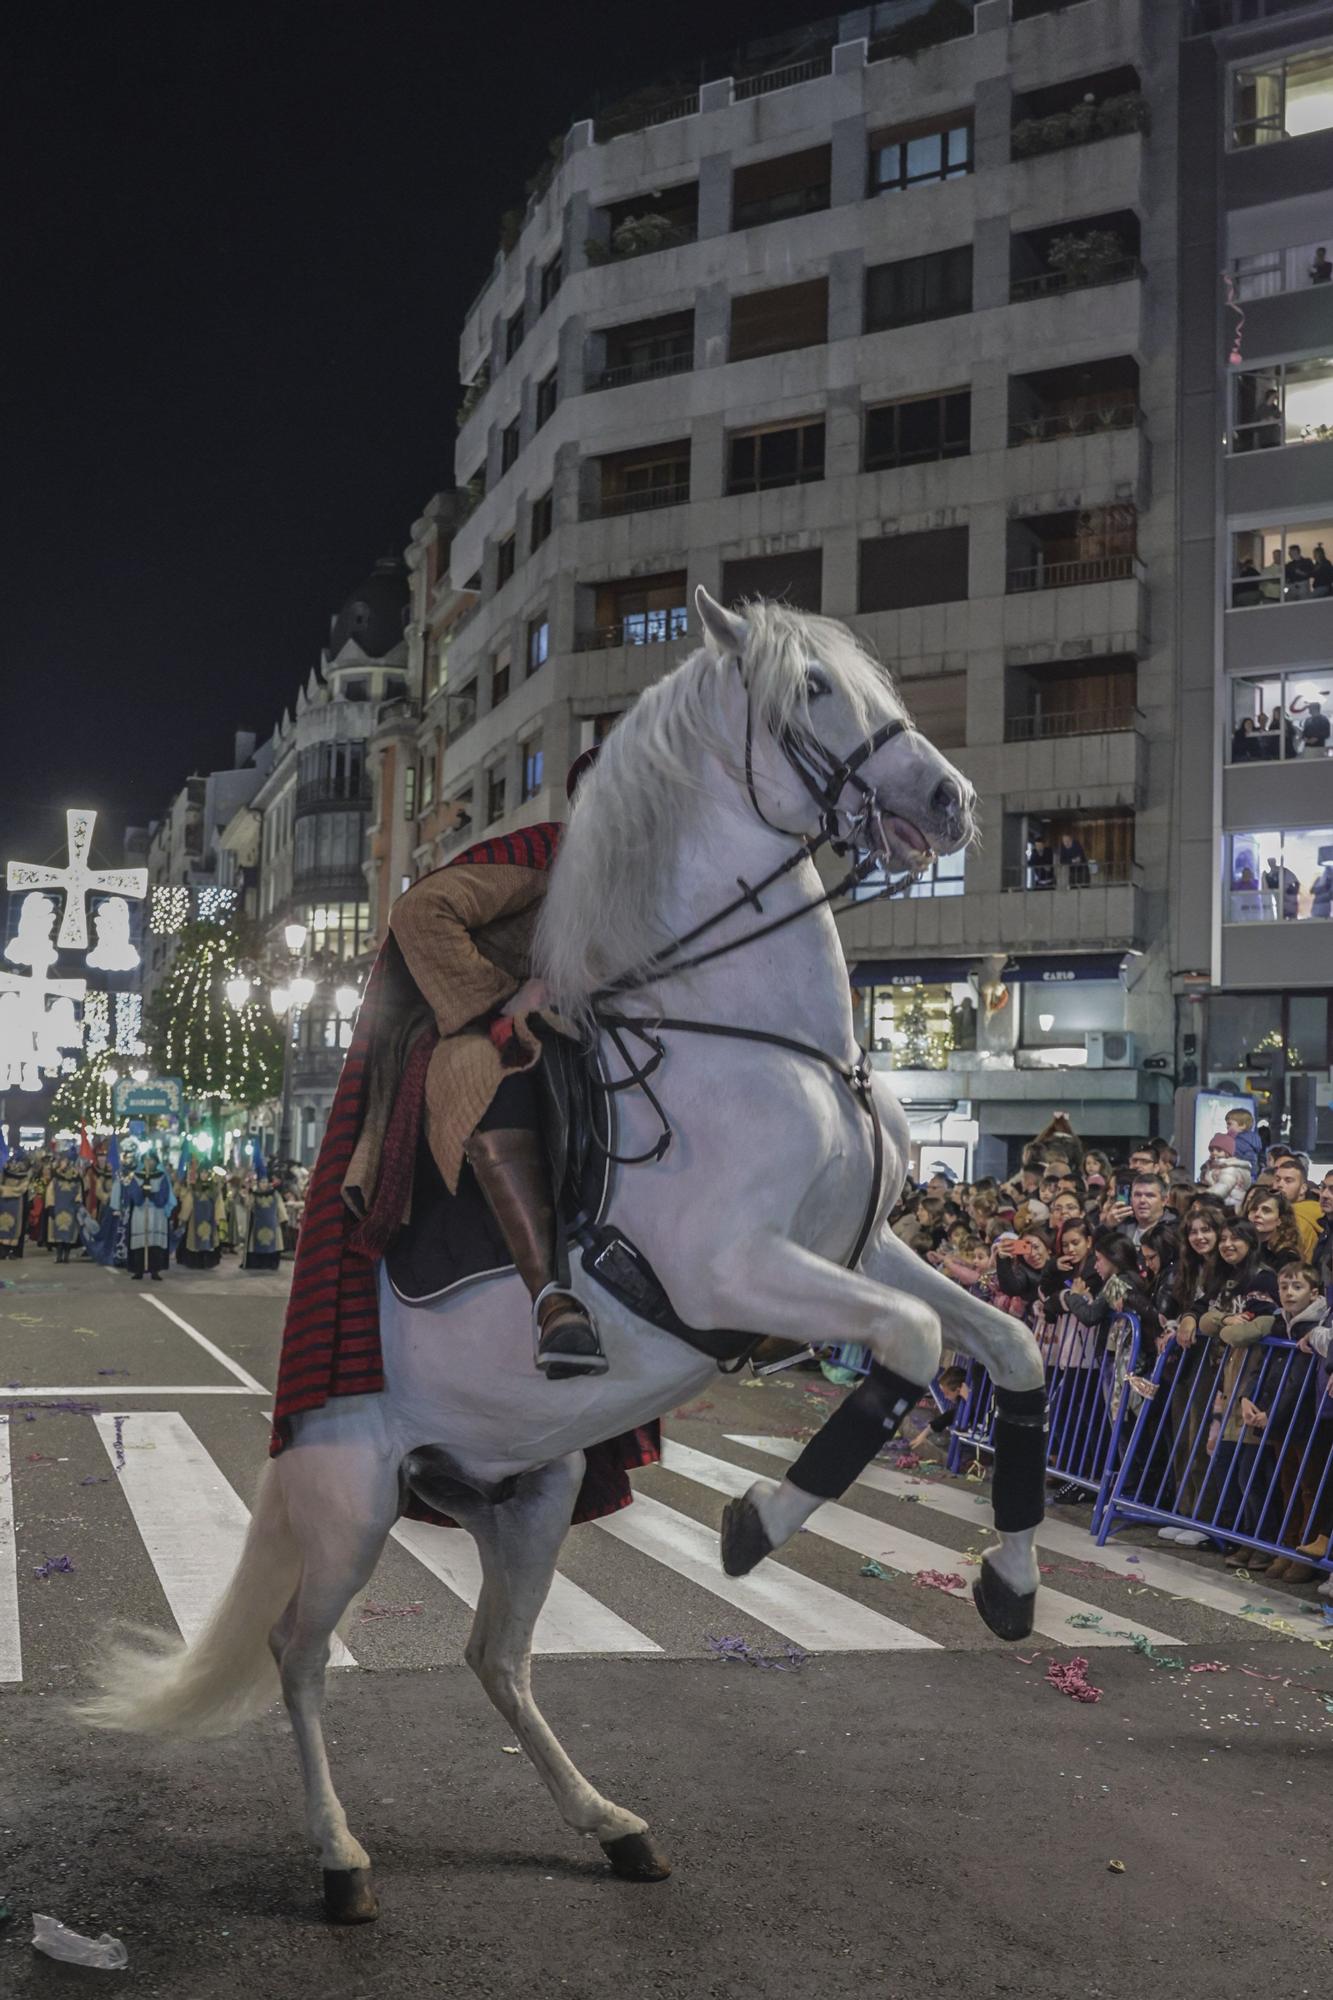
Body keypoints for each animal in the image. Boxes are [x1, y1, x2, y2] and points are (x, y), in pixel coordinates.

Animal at [80, 588, 1040, 1920]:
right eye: (811, 690)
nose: (948, 802)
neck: (746, 1029)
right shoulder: (736, 1269)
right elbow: (910, 1343)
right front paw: (755, 1519)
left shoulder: (865, 1245)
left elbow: (1007, 1341)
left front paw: (1011, 1582)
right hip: (350, 1498)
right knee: (299, 1652)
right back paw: (339, 1854)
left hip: (530, 1494)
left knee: (496, 1656)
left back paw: (608, 1822)